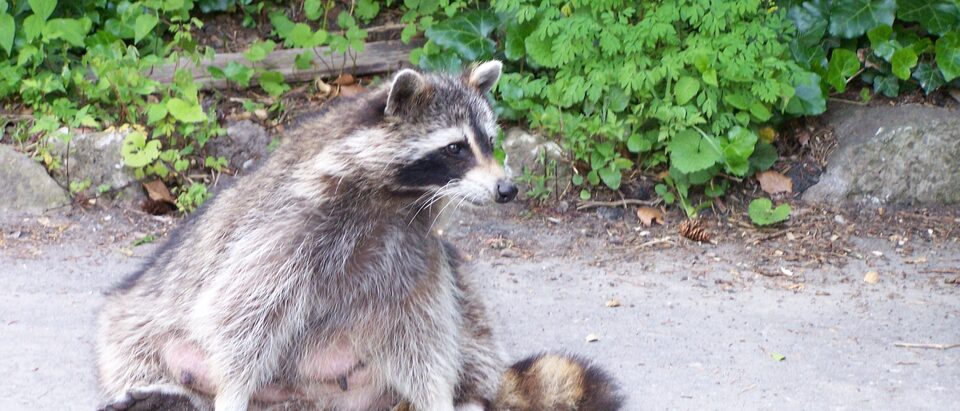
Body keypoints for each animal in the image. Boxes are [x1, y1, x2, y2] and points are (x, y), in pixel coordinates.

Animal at [96, 61, 623, 411]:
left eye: (490, 143)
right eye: (455, 148)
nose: (507, 189)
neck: (397, 199)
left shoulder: (412, 252)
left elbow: (423, 331)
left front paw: (437, 396)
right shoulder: (282, 232)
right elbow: (242, 312)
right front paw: (232, 388)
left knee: (468, 327)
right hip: (144, 308)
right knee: (133, 342)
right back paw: (163, 392)